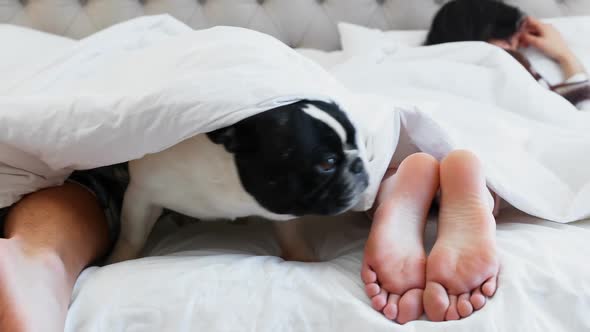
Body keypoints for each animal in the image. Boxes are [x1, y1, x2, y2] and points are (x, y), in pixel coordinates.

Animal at [107, 100, 370, 264]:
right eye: (327, 163)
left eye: (358, 141)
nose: (359, 163)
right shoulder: (141, 195)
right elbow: (131, 237)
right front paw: (116, 262)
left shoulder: (283, 206)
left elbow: (291, 234)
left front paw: (303, 258)